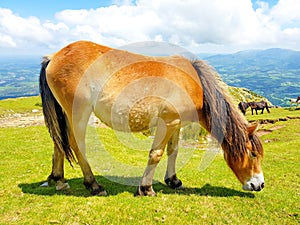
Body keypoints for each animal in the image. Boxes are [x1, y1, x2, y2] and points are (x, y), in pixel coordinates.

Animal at [39, 40, 264, 195]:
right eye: (253, 154)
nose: (259, 184)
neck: (195, 84)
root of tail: (54, 56)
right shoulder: (167, 123)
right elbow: (156, 154)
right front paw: (146, 188)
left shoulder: (176, 123)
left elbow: (173, 151)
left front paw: (173, 180)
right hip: (78, 113)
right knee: (76, 145)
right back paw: (93, 185)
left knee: (59, 141)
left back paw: (57, 178)